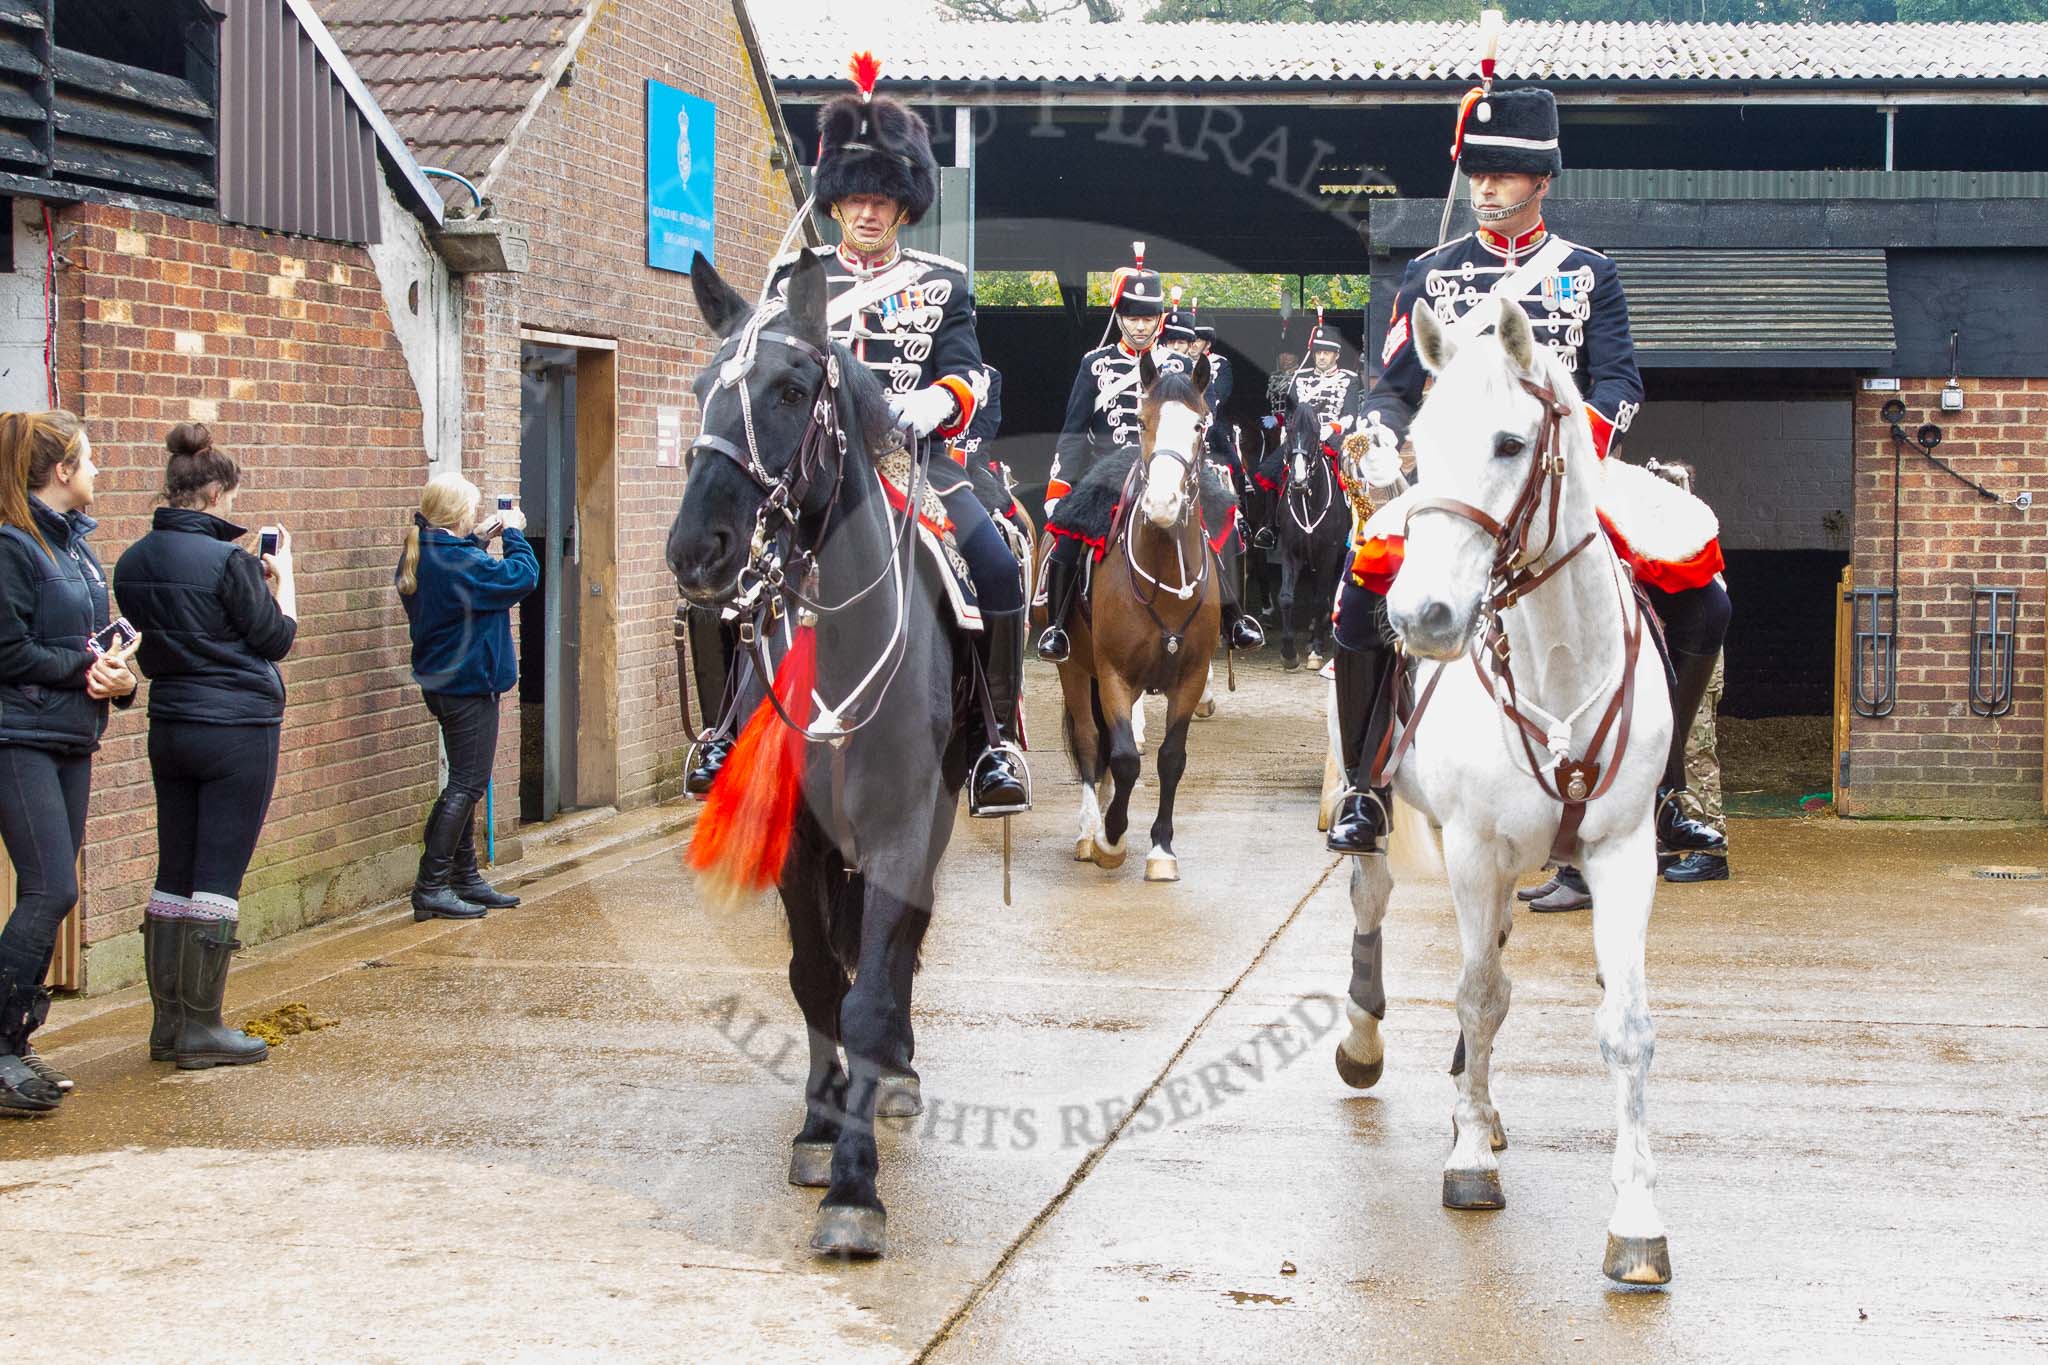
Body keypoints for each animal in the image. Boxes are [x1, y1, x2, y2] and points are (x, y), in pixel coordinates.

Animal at [659, 253, 970, 1260]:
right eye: (700, 388)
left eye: (792, 389)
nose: (697, 549)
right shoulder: (797, 835)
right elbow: (814, 981)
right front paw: (819, 1127)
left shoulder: (905, 826)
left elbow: (868, 989)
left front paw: (856, 1189)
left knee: (901, 945)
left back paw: (897, 1074)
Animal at [1269, 397, 1351, 671]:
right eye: (1290, 431)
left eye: (1315, 434)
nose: (1298, 480)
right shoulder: (1290, 551)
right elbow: (1285, 597)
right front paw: (1288, 651)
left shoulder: (1329, 553)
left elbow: (1318, 599)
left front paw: (1315, 650)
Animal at [1327, 298, 1679, 1293]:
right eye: (1418, 441)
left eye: (1512, 441)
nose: (1422, 618)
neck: (1558, 662)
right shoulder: (1473, 846)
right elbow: (1478, 995)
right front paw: (1470, 1163)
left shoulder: (1622, 850)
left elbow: (1624, 1025)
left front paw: (1637, 1221)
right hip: (1386, 816)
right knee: (1374, 901)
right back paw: (1370, 1046)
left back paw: (1471, 1101)